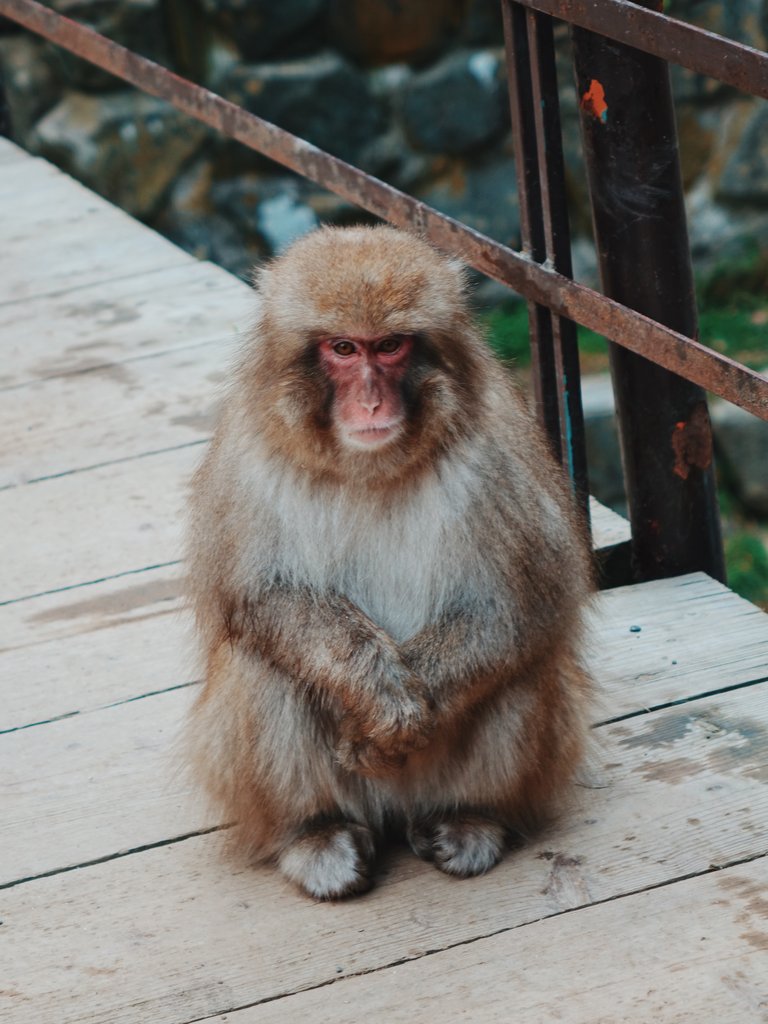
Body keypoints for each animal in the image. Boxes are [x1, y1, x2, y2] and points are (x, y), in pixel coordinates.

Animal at [185, 222, 593, 897]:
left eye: (392, 346)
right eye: (344, 348)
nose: (372, 403)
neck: (370, 465)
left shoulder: (499, 447)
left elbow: (522, 602)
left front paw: (399, 715)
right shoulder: (248, 450)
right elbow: (262, 596)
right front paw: (382, 701)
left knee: (519, 668)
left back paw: (469, 818)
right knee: (264, 667)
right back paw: (314, 834)